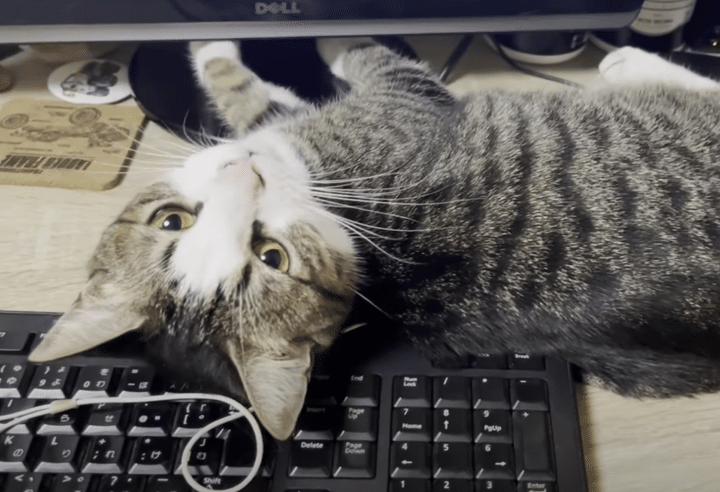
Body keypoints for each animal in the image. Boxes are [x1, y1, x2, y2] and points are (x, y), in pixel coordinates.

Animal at [28, 38, 720, 440]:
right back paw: (632, 62)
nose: (243, 173)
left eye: (171, 221)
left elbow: (263, 103)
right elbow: (319, 73)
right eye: (272, 255)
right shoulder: (401, 103)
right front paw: (230, 48)